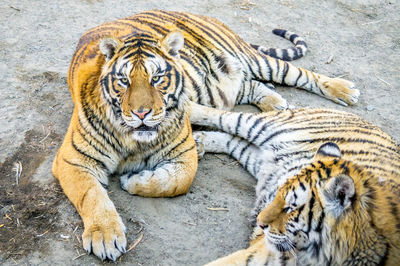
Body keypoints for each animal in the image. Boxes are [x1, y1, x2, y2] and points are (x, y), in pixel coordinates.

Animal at [50, 9, 360, 260]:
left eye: (156, 78)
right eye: (123, 81)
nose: (141, 113)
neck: (132, 140)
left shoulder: (184, 152)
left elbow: (177, 181)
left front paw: (134, 181)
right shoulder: (72, 159)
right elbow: (91, 194)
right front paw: (105, 235)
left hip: (255, 60)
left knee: (299, 73)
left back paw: (343, 89)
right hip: (234, 79)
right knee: (251, 85)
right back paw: (274, 101)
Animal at [191, 102, 400, 266]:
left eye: (291, 208)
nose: (258, 222)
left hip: (256, 157)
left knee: (233, 140)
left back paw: (198, 142)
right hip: (264, 124)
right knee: (222, 115)